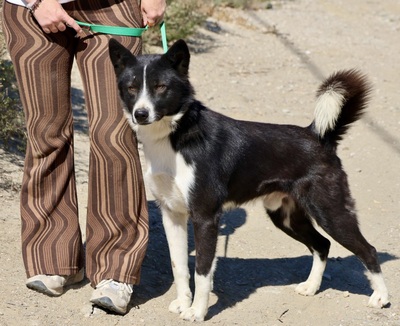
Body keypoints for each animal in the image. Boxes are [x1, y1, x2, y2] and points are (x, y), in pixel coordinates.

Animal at [108, 38, 388, 320]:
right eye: (132, 88)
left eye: (161, 87)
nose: (141, 114)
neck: (176, 135)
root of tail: (318, 137)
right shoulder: (172, 215)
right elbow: (180, 267)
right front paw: (183, 303)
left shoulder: (205, 218)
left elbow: (202, 272)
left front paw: (197, 312)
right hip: (285, 216)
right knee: (322, 244)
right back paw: (311, 286)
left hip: (330, 212)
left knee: (367, 250)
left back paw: (381, 297)